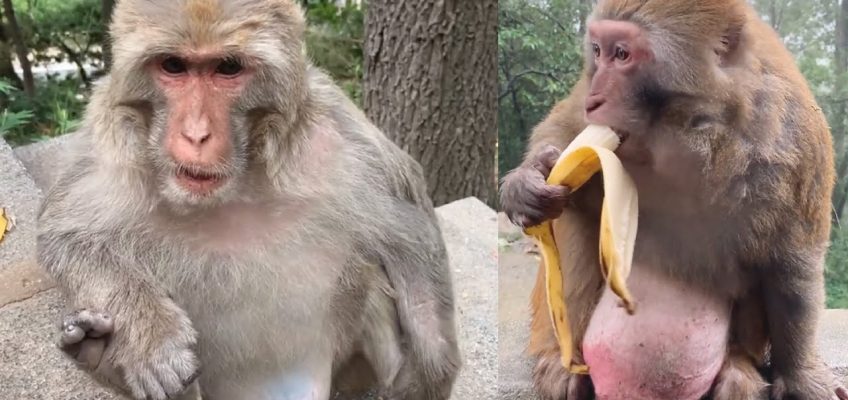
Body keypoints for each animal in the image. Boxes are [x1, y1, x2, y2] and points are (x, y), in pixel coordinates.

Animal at [36, 1, 461, 399]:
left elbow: (408, 220)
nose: (196, 134)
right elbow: (63, 234)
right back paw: (101, 356)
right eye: (173, 66)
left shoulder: (336, 132)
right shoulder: (112, 142)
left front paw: (428, 372)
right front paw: (154, 337)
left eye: (228, 68)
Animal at [500, 1, 848, 399]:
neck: (696, 136)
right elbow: (563, 126)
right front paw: (528, 180)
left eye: (623, 54)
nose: (595, 100)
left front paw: (802, 376)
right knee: (576, 219)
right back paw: (560, 364)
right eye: (598, 51)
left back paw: (738, 368)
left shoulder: (796, 142)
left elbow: (794, 263)